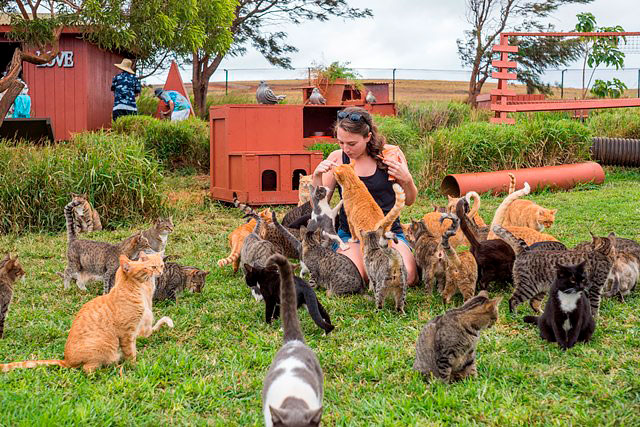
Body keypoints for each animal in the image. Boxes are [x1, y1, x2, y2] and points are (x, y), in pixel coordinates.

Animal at [0, 254, 172, 374]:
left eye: (150, 266)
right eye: (146, 267)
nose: (157, 271)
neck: (133, 291)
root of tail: (66, 360)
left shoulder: (133, 332)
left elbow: (133, 349)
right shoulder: (127, 333)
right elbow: (131, 352)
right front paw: (133, 366)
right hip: (103, 347)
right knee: (88, 370)